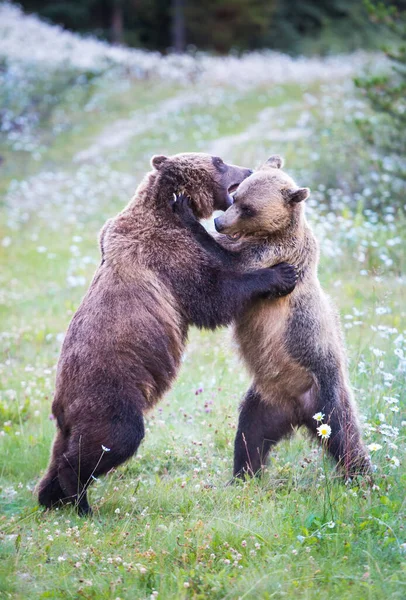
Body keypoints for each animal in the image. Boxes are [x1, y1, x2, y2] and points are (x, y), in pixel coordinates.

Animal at [38, 152, 298, 512]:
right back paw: (80, 499)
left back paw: (51, 497)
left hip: (75, 416)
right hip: (109, 394)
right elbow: (210, 296)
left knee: (64, 449)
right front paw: (280, 274)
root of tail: (61, 405)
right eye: (218, 160)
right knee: (116, 438)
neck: (159, 207)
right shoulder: (166, 253)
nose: (246, 169)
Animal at [174, 157, 372, 480]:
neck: (272, 232)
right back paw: (243, 475)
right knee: (250, 436)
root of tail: (298, 412)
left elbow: (232, 260)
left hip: (325, 388)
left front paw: (186, 212)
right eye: (236, 197)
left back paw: (362, 475)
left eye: (249, 208)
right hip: (263, 400)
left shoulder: (276, 251)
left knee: (344, 434)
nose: (219, 222)